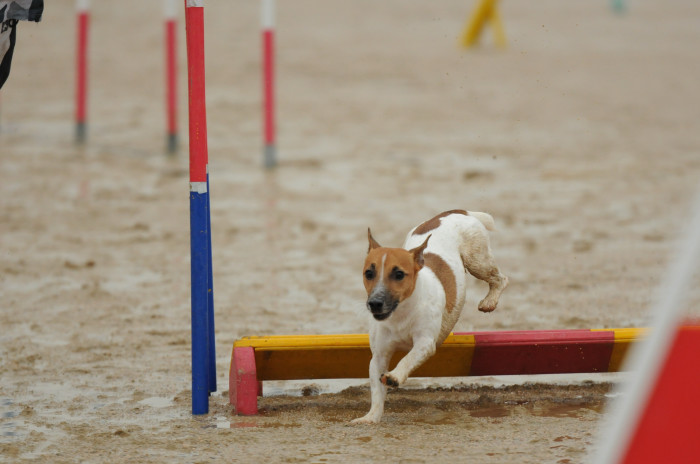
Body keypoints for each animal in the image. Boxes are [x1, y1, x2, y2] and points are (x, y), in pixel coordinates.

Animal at [352, 210, 506, 424]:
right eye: (368, 273)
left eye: (399, 274)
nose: (375, 303)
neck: (401, 313)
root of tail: (458, 211)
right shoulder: (379, 356)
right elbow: (376, 390)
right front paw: (371, 417)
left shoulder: (425, 343)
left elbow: (407, 359)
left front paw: (394, 376)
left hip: (478, 261)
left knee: (499, 278)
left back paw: (489, 301)